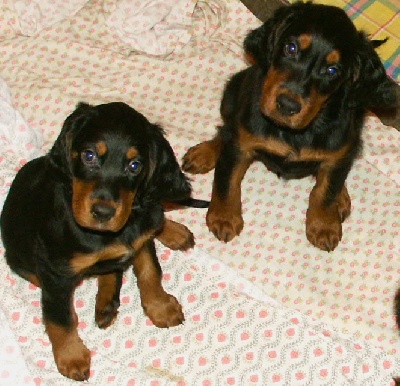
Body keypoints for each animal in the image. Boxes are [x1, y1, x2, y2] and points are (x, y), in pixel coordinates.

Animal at [0, 101, 206, 382]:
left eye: (135, 166)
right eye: (89, 156)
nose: (103, 212)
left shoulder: (140, 240)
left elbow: (150, 273)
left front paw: (160, 307)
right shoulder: (55, 273)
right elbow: (60, 318)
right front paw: (71, 356)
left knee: (153, 214)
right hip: (18, 257)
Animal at [182, 0, 396, 250]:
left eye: (332, 70)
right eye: (291, 48)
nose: (287, 105)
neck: (296, 131)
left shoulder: (338, 149)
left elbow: (325, 192)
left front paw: (323, 224)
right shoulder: (240, 144)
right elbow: (227, 181)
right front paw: (224, 216)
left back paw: (340, 196)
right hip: (233, 91)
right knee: (225, 128)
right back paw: (205, 152)